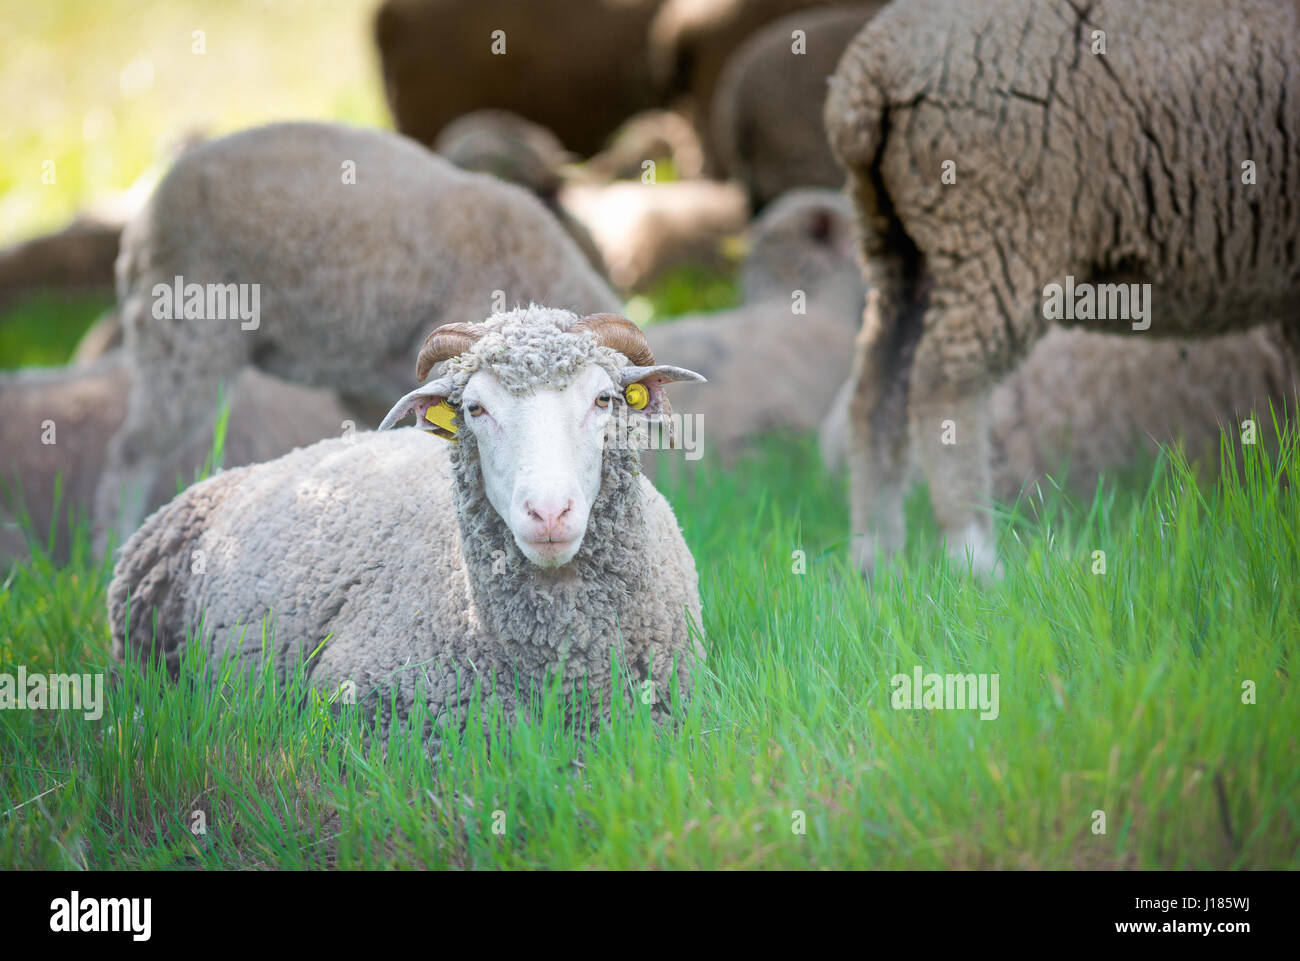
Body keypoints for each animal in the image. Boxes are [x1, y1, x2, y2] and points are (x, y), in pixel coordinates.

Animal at [821, 0, 1300, 574]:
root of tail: (869, 70)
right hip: (993, 228)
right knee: (944, 383)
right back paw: (973, 558)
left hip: (900, 245)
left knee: (875, 394)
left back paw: (876, 563)